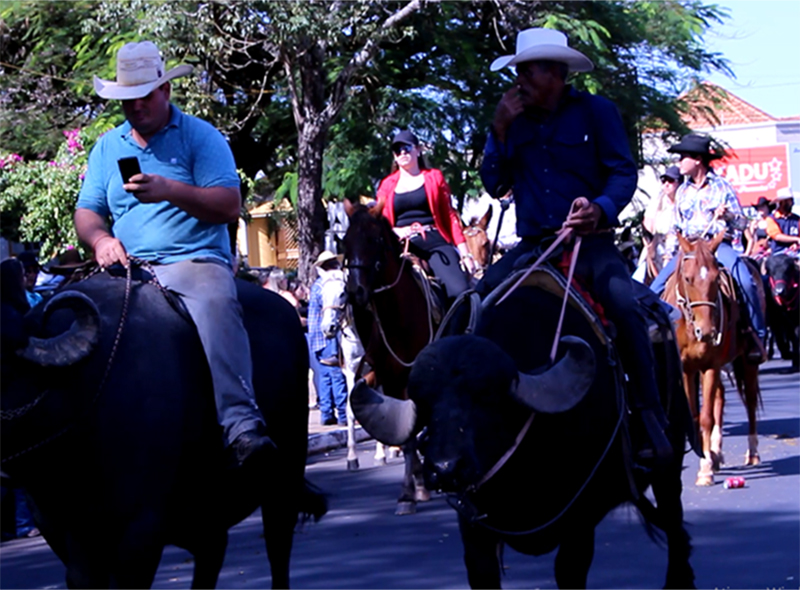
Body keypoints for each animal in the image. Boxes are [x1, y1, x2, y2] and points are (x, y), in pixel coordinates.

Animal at [1, 270, 324, 588]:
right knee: (212, 549)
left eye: (5, 367)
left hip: (284, 475)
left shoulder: (141, 528)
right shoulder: (63, 531)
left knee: (277, 545)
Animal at [340, 201, 438, 516]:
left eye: (375, 240)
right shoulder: (391, 376)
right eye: (345, 241)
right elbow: (405, 433)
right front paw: (412, 489)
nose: (356, 292)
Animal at [350, 278, 692, 590]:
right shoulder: (473, 528)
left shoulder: (580, 523)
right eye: (425, 404)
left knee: (674, 522)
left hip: (669, 460)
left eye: (487, 398)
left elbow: (569, 570)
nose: (445, 468)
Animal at [664, 231, 764, 486]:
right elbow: (694, 416)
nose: (708, 332)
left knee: (750, 401)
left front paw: (705, 468)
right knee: (720, 396)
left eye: (716, 278)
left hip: (747, 362)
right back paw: (717, 451)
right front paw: (707, 456)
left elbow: (706, 418)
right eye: (687, 278)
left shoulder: (710, 366)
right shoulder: (687, 369)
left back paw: (752, 453)